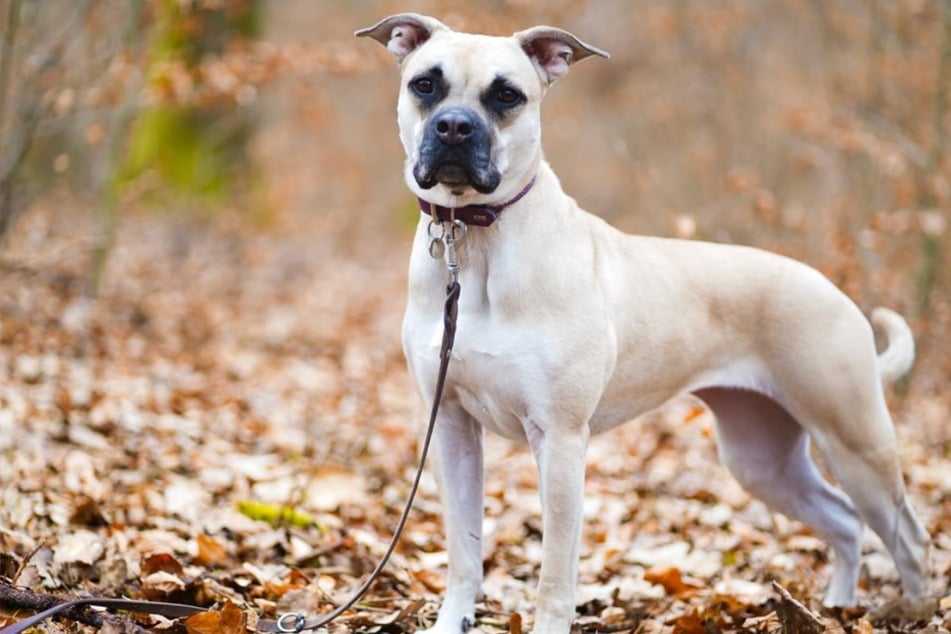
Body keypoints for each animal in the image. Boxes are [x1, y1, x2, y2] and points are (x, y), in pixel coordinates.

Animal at [356, 14, 928, 632]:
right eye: (425, 85)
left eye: (506, 95)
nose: (455, 127)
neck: (475, 237)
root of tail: (833, 290)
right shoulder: (453, 428)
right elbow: (464, 549)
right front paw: (452, 620)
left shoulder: (559, 439)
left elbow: (555, 570)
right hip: (762, 458)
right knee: (844, 521)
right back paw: (838, 605)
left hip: (855, 441)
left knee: (907, 536)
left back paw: (915, 607)